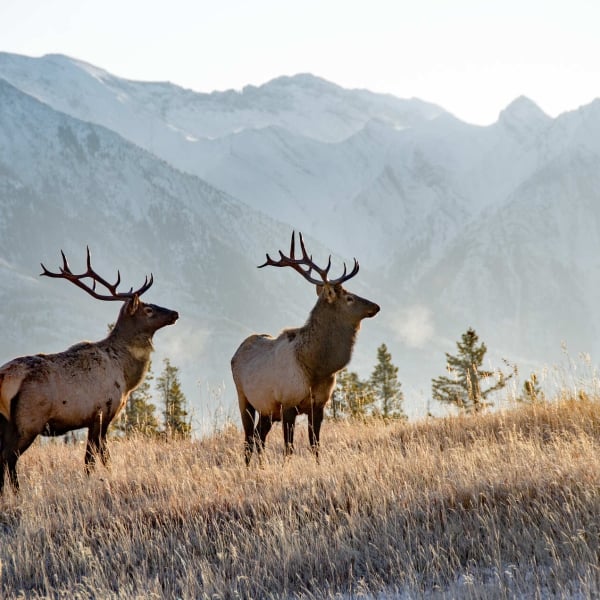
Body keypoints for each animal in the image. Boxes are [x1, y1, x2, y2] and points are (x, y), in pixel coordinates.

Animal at [0, 247, 178, 492]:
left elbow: (98, 456)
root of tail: (4, 376)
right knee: (9, 458)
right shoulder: (101, 413)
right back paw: (18, 494)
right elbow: (96, 458)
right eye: (149, 309)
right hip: (28, 421)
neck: (126, 377)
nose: (175, 313)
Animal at [231, 232, 380, 466]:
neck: (316, 368)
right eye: (349, 298)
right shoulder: (287, 403)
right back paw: (248, 468)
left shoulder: (318, 405)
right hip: (244, 398)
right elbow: (289, 448)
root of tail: (236, 353)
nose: (375, 306)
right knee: (248, 439)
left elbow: (315, 445)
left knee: (258, 436)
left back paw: (261, 467)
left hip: (267, 409)